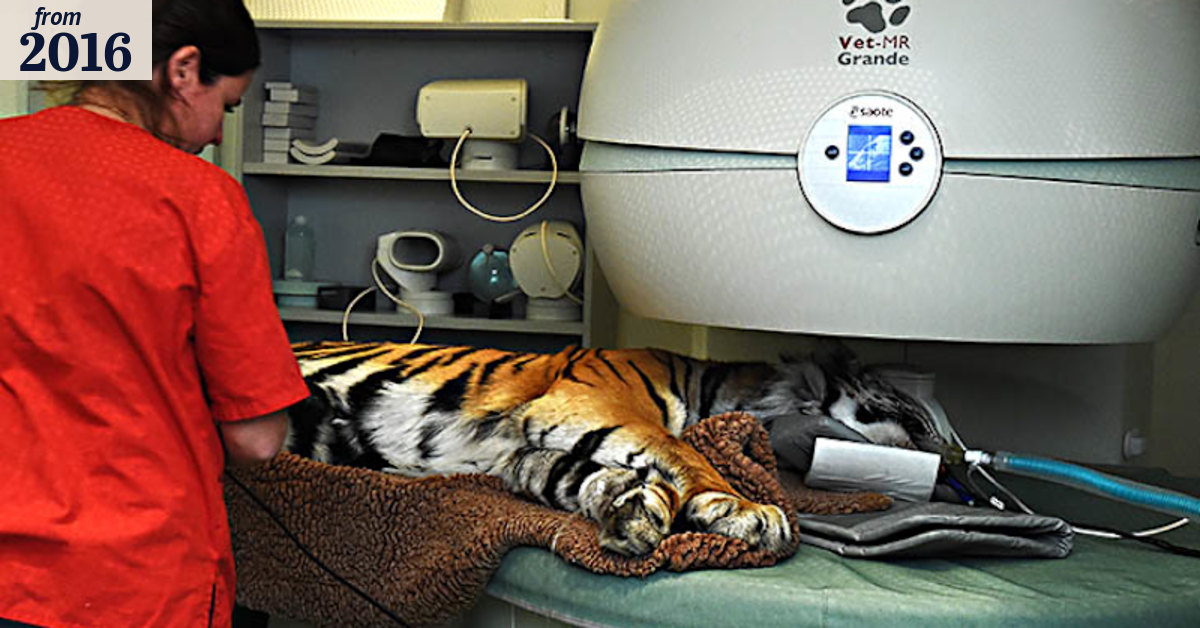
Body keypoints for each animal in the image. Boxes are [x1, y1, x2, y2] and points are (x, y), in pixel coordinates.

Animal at [286, 341, 946, 556]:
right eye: (915, 421)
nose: (952, 466)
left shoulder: (522, 455)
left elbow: (579, 473)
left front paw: (630, 509)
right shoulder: (591, 400)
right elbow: (681, 450)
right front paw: (749, 511)